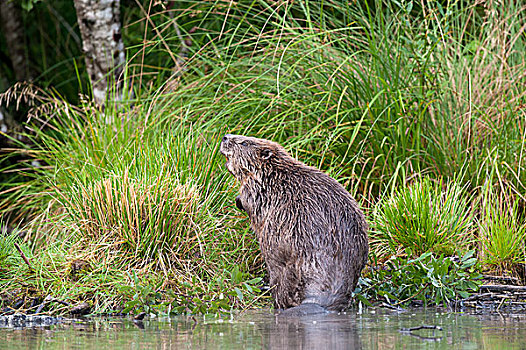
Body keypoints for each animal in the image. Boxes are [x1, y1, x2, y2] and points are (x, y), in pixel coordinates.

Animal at [221, 134, 370, 314]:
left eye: (244, 142)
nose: (225, 137)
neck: (274, 172)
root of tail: (317, 300)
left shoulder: (257, 187)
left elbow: (248, 200)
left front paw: (238, 200)